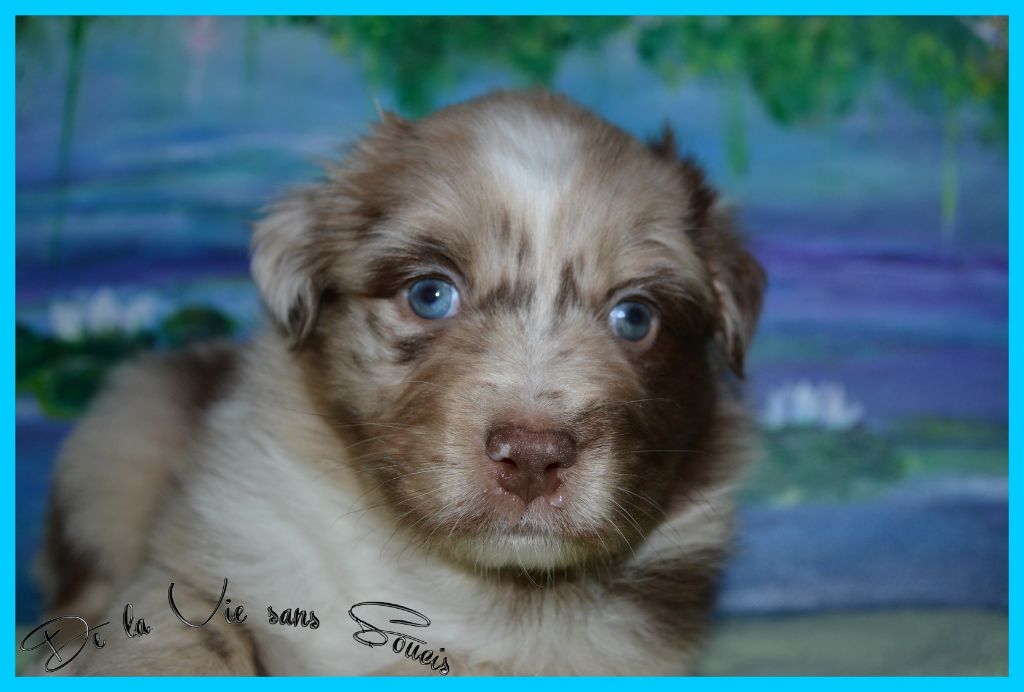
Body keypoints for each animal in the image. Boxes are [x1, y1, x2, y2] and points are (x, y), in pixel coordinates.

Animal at [34, 89, 765, 675]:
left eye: (635, 317)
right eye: (430, 295)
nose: (533, 457)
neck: (447, 583)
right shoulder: (202, 564)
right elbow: (183, 640)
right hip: (123, 435)